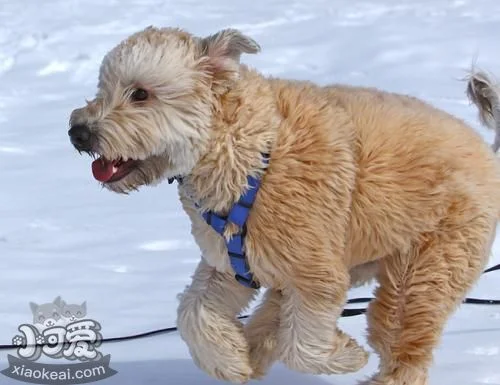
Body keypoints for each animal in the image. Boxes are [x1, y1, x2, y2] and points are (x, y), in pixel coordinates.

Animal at [68, 27, 500, 384]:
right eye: (103, 87)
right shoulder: (228, 265)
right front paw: (231, 361)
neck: (248, 152)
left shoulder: (317, 274)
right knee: (275, 313)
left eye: (141, 93)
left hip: (426, 271)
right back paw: (254, 350)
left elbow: (303, 347)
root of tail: (488, 154)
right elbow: (194, 312)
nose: (77, 132)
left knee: (401, 341)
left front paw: (347, 356)